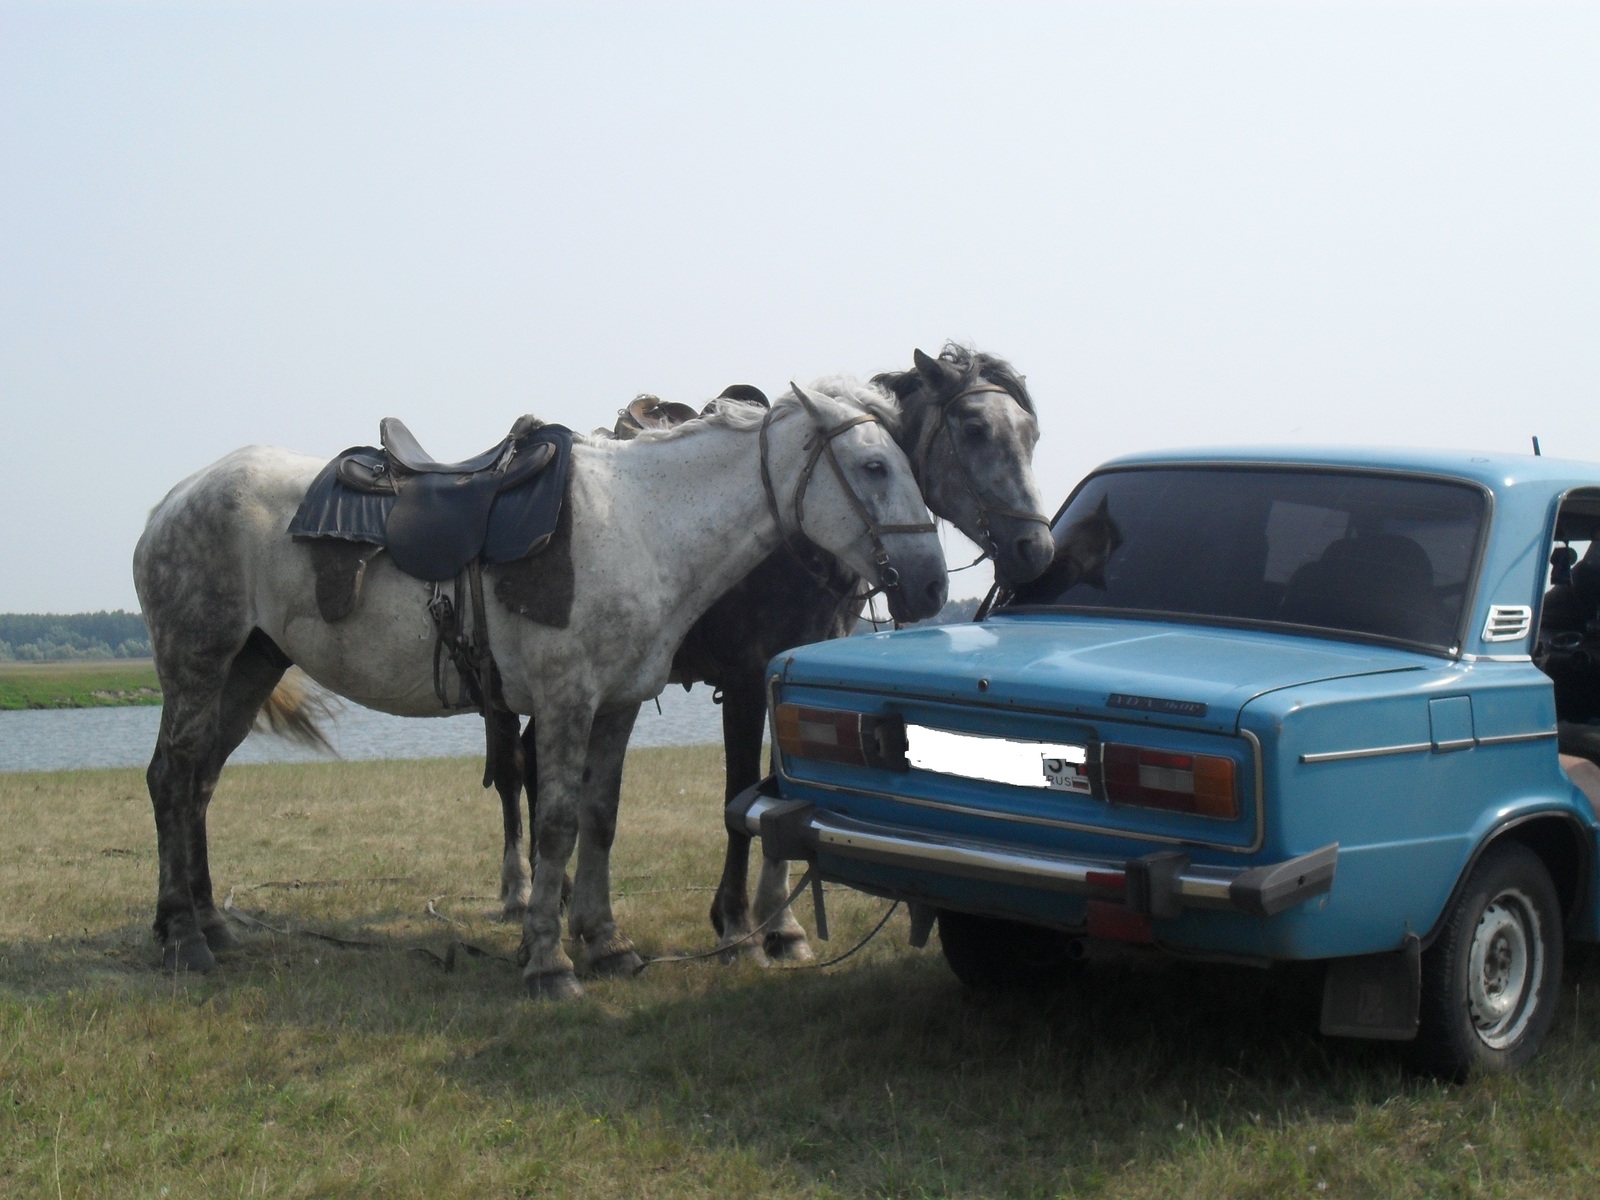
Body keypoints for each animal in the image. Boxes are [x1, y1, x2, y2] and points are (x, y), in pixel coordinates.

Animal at [134, 380, 947, 998]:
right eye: (875, 467)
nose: (932, 585)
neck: (645, 526)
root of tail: (173, 500)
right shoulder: (566, 700)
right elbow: (556, 822)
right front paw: (549, 962)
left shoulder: (617, 705)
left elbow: (601, 818)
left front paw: (606, 942)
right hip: (196, 665)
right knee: (172, 779)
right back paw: (180, 938)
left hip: (249, 667)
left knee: (200, 782)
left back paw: (212, 924)